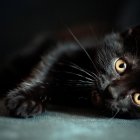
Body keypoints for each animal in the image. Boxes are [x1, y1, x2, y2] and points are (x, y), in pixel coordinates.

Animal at [2, 25, 140, 118]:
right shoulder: (64, 51)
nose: (111, 91)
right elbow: (43, 73)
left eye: (138, 98)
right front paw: (26, 100)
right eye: (121, 65)